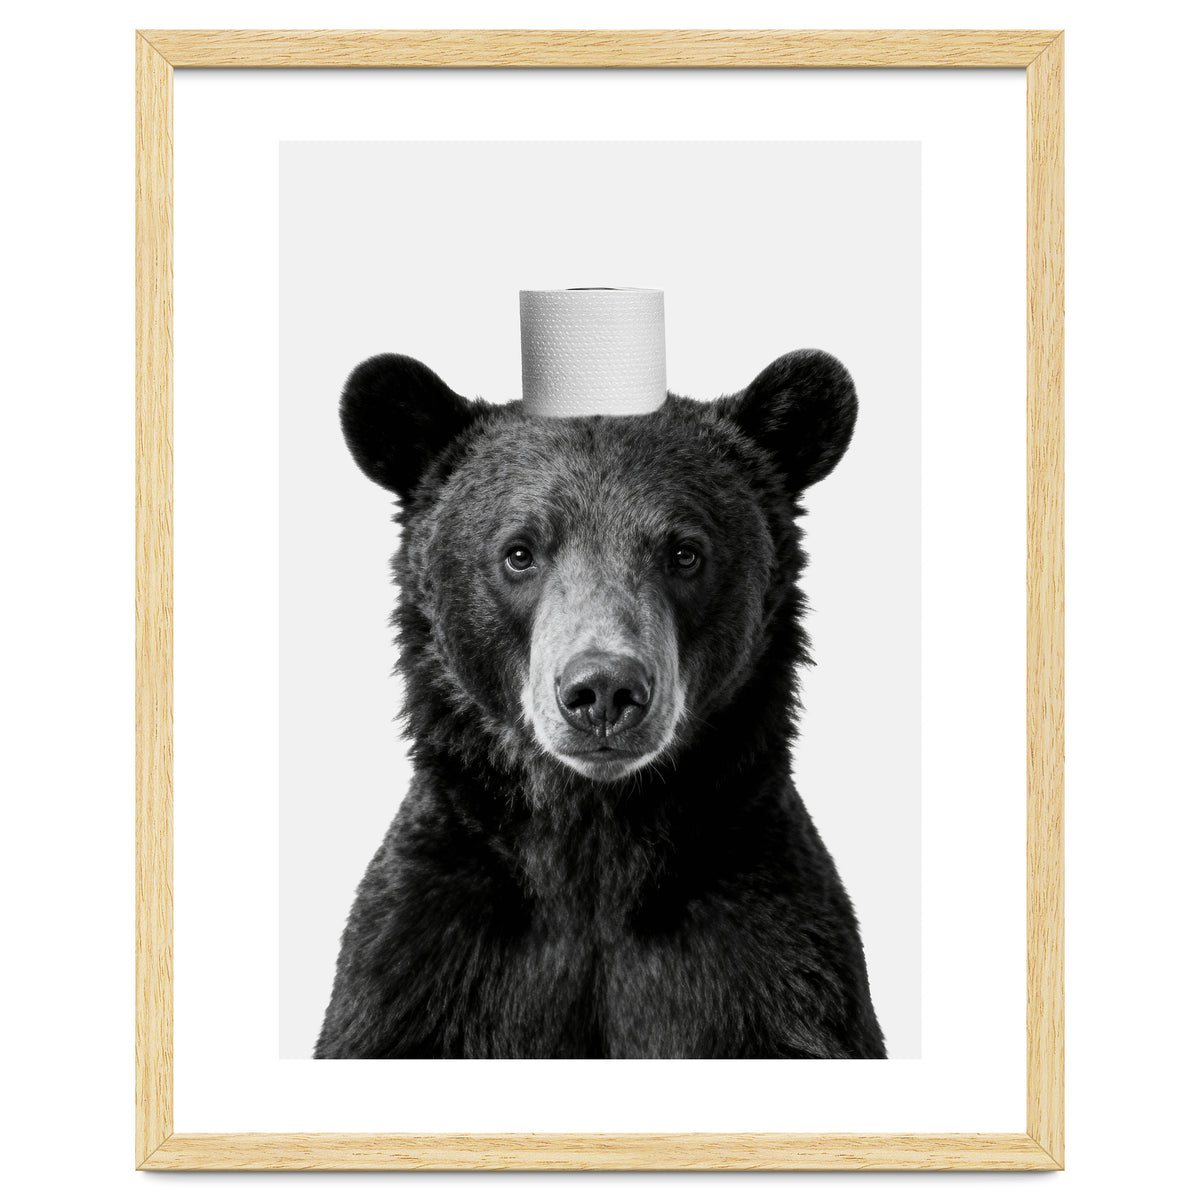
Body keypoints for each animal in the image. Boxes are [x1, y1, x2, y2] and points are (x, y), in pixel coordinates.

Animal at [315, 348, 886, 1059]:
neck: (594, 841)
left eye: (684, 553)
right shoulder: (423, 959)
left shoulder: (773, 958)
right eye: (519, 553)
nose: (604, 691)